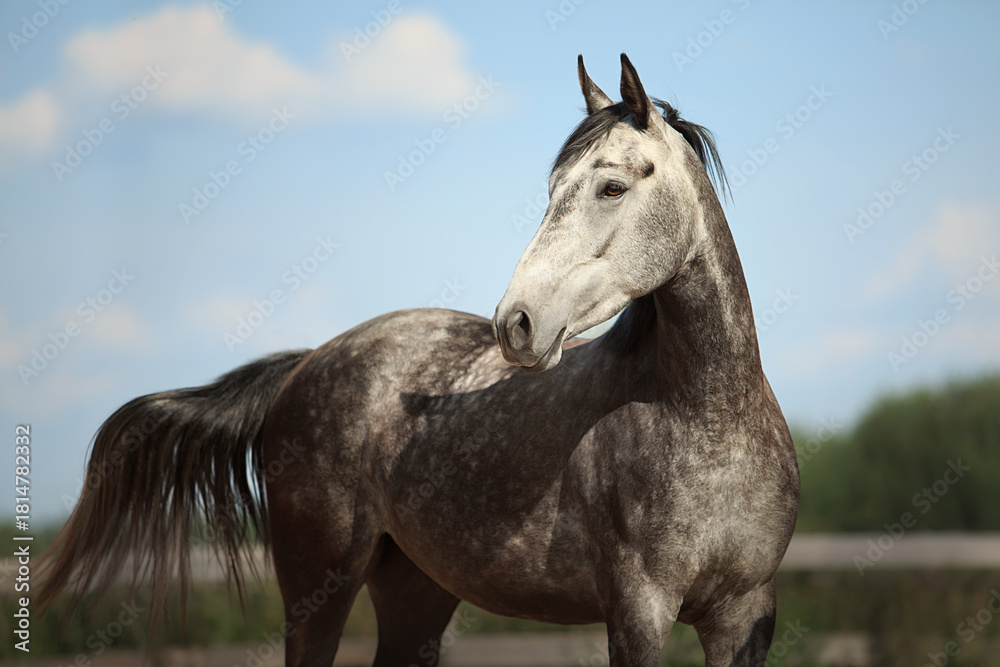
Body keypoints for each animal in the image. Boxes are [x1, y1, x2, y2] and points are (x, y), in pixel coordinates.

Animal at [38, 54, 799, 666]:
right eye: (551, 190)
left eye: (612, 186)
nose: (516, 323)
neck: (706, 424)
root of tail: (307, 364)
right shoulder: (637, 613)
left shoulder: (745, 616)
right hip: (318, 587)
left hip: (416, 591)